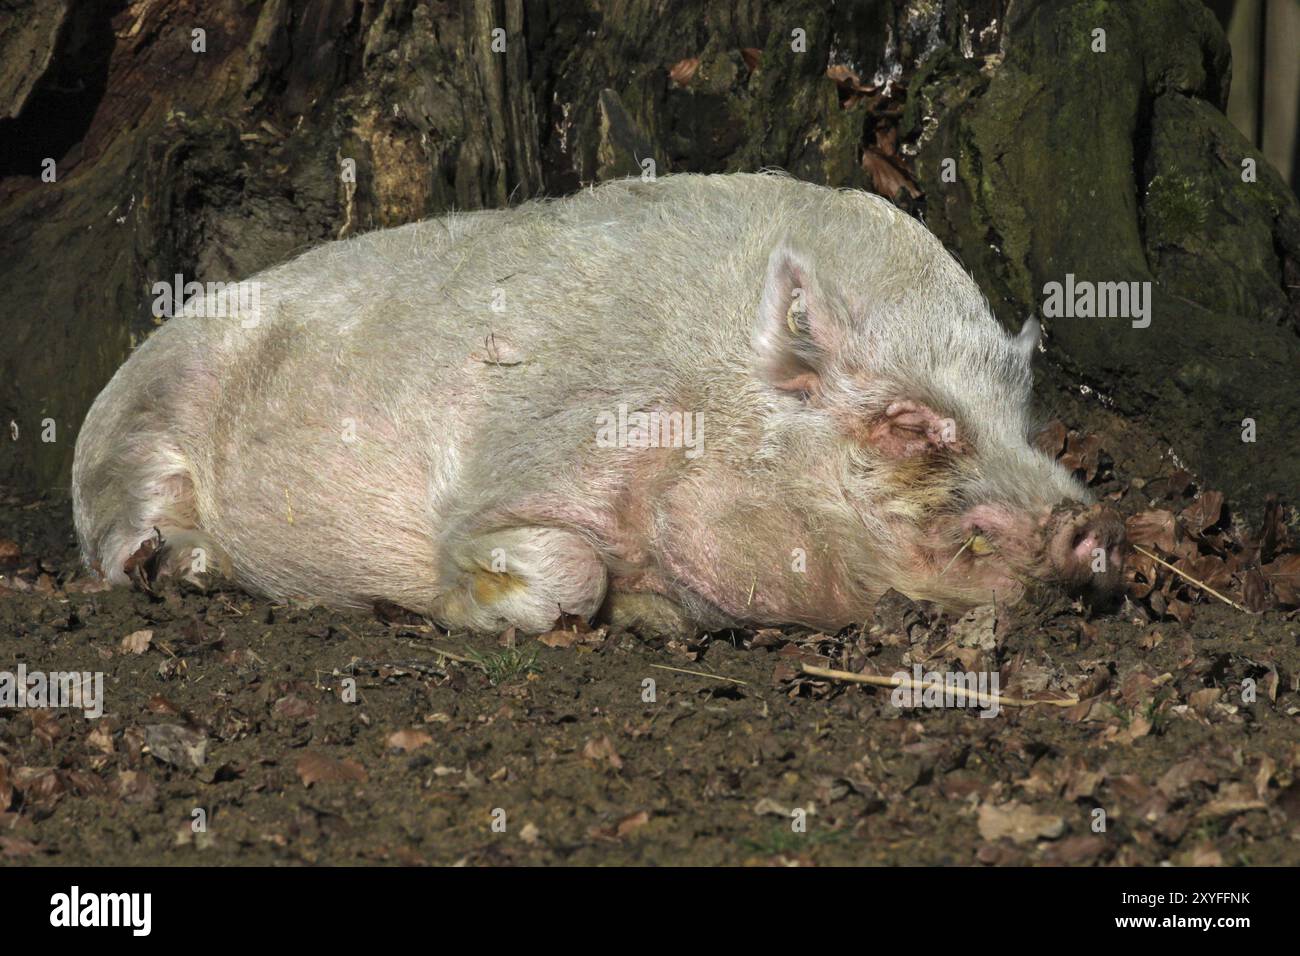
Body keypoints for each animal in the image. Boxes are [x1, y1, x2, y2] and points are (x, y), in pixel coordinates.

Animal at [73, 174, 1128, 634]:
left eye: (1021, 416)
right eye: (909, 423)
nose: (1087, 524)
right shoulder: (529, 458)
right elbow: (551, 567)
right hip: (140, 422)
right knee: (122, 526)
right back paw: (174, 569)